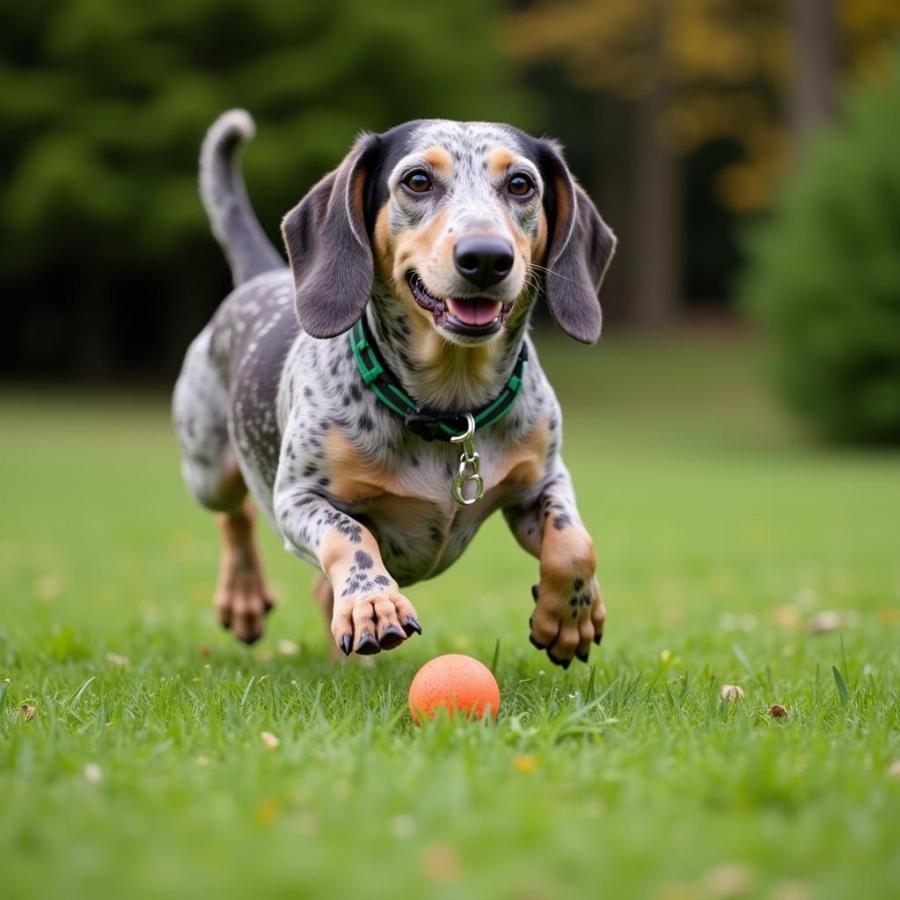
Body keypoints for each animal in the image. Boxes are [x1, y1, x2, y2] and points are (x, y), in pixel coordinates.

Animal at [172, 107, 616, 668]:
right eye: (417, 180)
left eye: (521, 184)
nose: (486, 257)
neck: (450, 411)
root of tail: (261, 277)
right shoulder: (298, 498)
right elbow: (350, 534)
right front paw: (372, 601)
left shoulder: (545, 478)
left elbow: (575, 542)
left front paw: (570, 617)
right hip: (208, 471)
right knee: (236, 514)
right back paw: (245, 596)